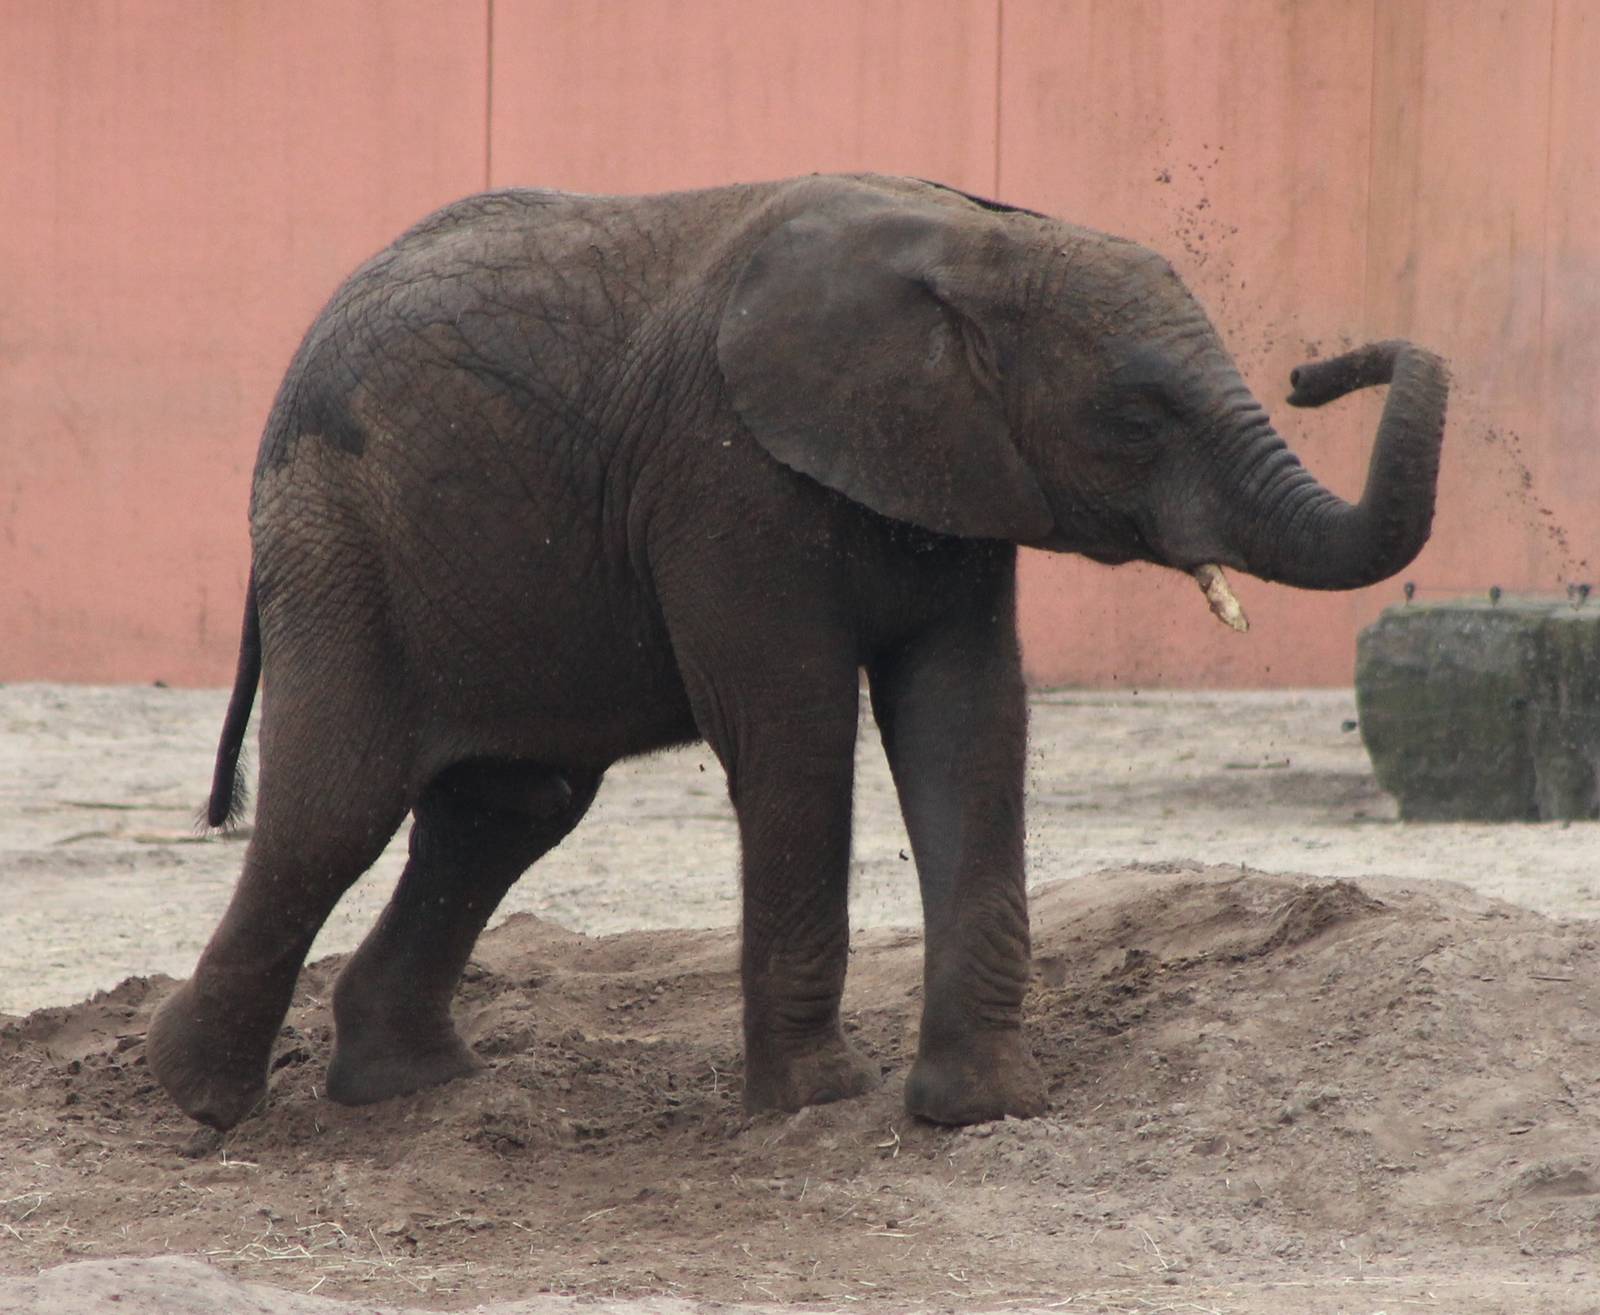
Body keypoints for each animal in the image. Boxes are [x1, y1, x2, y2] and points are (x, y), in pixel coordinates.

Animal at [146, 173, 1448, 1132]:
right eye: (1136, 416)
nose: (1319, 370)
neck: (972, 244)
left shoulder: (954, 475)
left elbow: (968, 719)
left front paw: (980, 1109)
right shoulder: (725, 480)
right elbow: (796, 724)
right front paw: (818, 1102)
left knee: (508, 809)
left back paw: (408, 1086)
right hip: (338, 538)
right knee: (337, 807)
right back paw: (195, 1100)